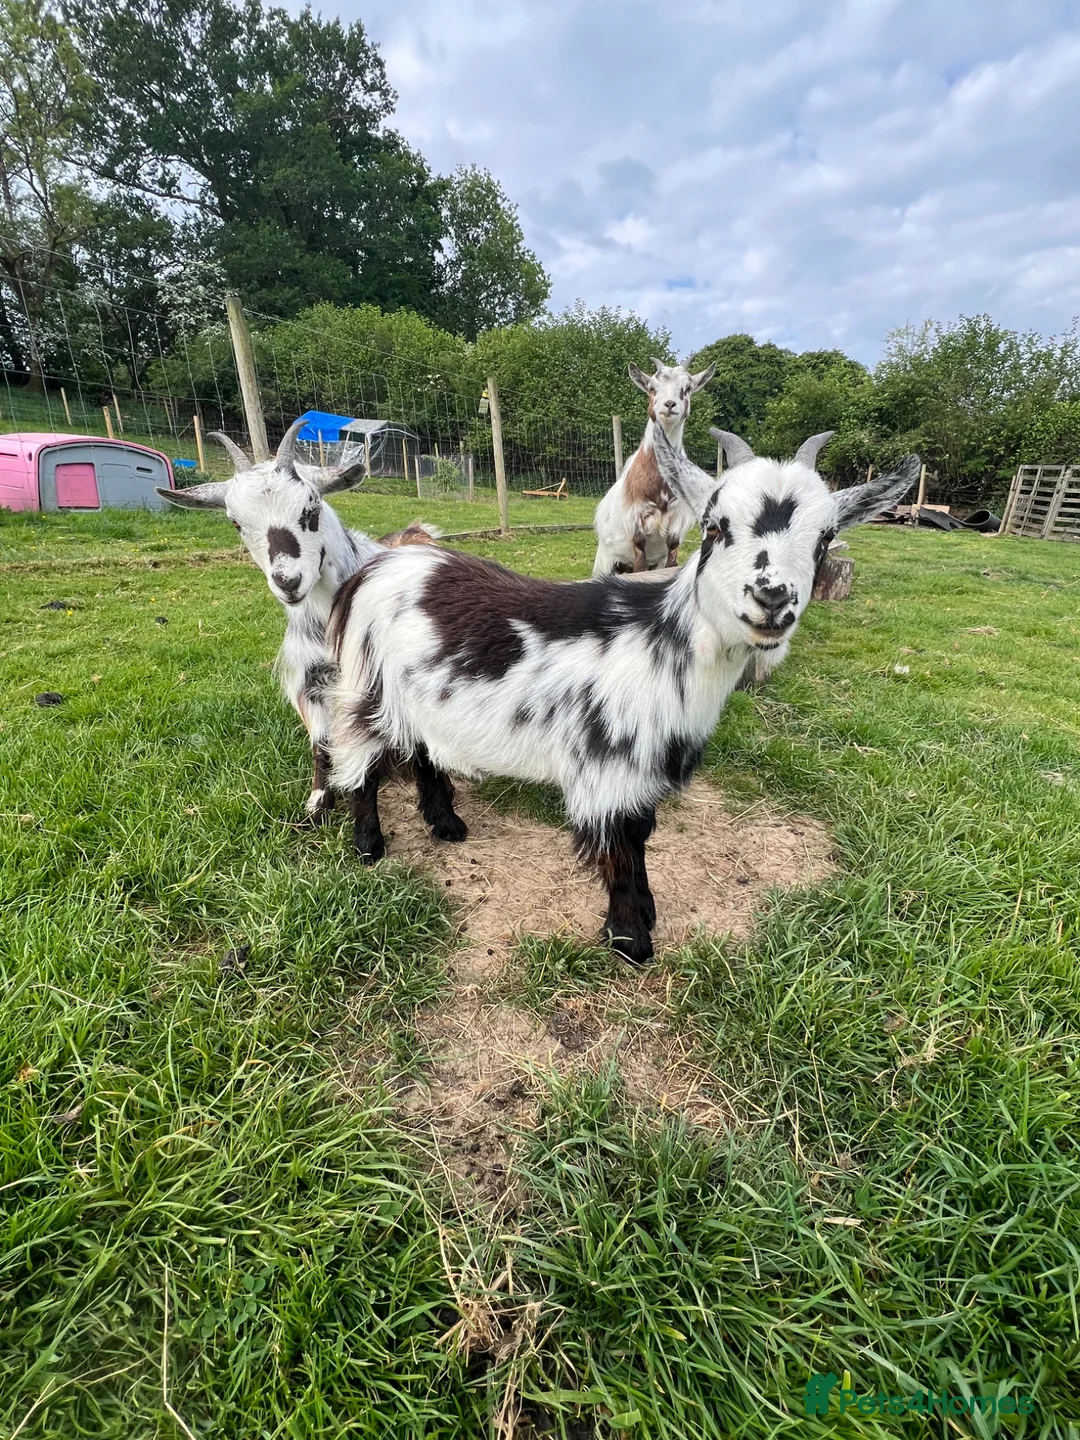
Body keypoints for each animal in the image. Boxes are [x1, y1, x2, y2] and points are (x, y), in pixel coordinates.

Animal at [156, 421, 439, 822]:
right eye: (235, 522)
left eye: (312, 506)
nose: (288, 581)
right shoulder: (310, 681)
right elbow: (320, 742)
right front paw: (317, 804)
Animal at [326, 423, 917, 963]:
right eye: (715, 526)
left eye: (825, 537)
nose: (771, 598)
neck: (665, 646)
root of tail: (382, 562)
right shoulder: (609, 765)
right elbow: (623, 846)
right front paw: (631, 939)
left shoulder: (645, 768)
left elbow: (642, 831)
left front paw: (645, 914)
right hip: (367, 685)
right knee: (361, 760)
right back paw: (369, 845)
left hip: (418, 695)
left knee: (423, 749)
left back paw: (446, 825)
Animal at [592, 358, 715, 576]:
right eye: (651, 388)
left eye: (687, 388)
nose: (670, 404)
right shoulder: (635, 515)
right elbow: (639, 553)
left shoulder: (678, 516)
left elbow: (672, 549)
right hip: (605, 561)